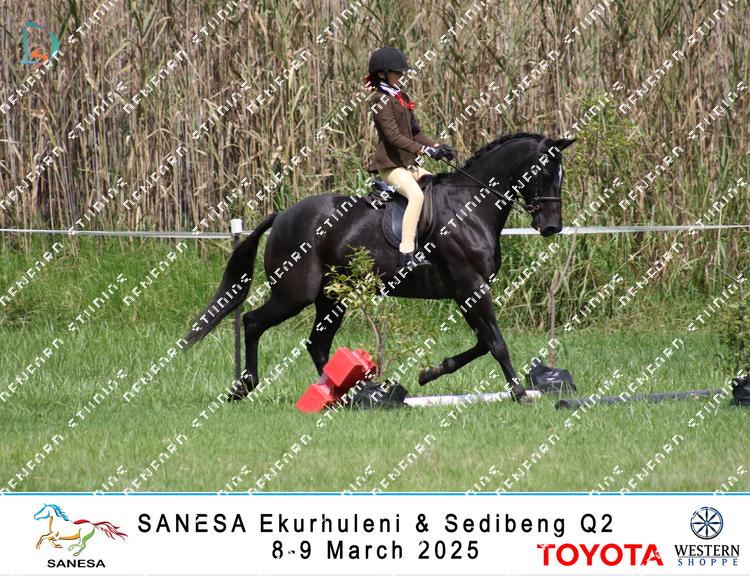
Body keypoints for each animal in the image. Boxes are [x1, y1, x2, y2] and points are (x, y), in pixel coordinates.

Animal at [185, 132, 575, 402]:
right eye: (543, 172)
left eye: (561, 175)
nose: (551, 227)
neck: (470, 206)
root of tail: (282, 215)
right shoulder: (472, 286)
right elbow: (495, 342)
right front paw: (519, 393)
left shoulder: (467, 292)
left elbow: (482, 343)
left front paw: (430, 373)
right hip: (295, 294)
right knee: (253, 323)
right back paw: (245, 387)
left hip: (332, 297)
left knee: (317, 343)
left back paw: (348, 395)